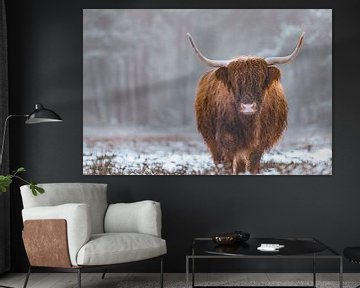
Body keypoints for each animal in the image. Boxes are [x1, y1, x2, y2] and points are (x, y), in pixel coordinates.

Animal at [188, 32, 304, 174]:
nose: (248, 107)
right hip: (212, 141)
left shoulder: (259, 144)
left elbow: (253, 166)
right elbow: (227, 165)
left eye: (261, 80)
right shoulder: (226, 140)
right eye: (234, 82)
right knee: (218, 161)